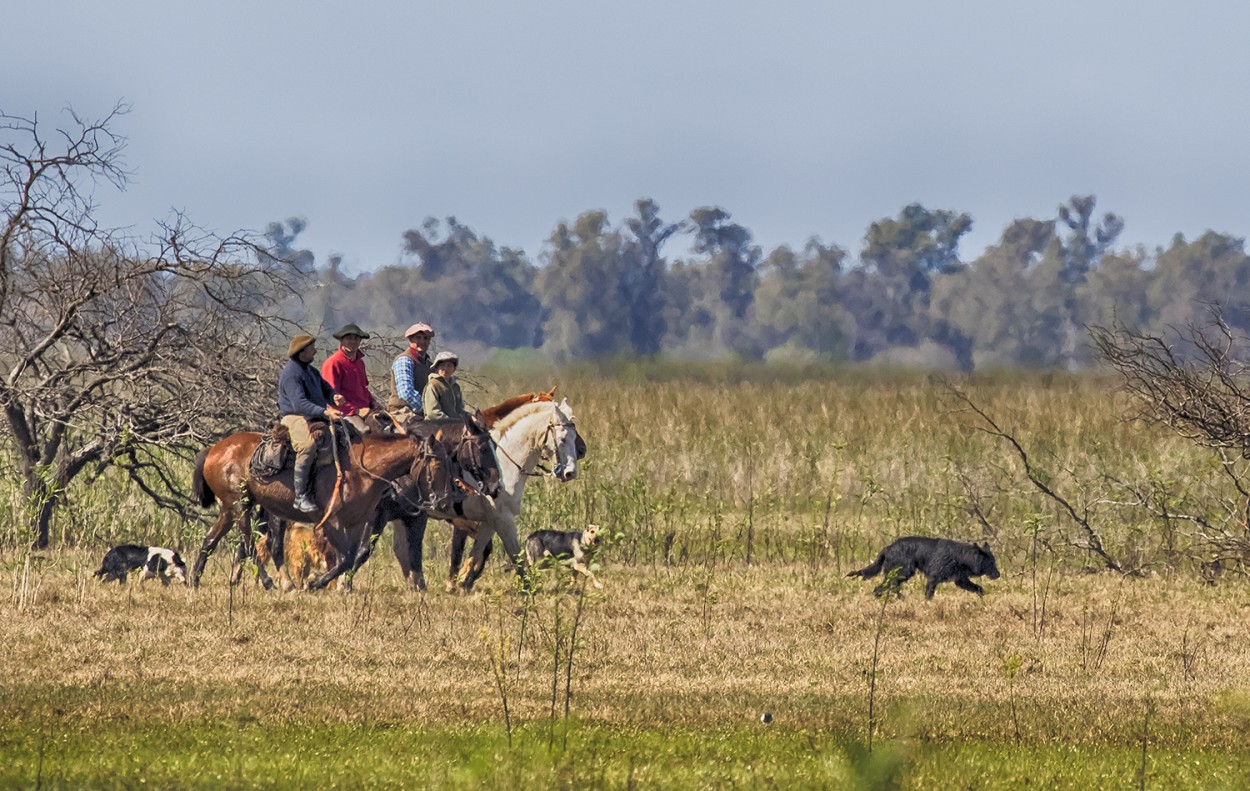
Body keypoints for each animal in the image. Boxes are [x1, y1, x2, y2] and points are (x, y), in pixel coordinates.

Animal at [188, 417, 497, 589]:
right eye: (483, 447)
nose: (494, 486)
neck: (367, 468)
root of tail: (215, 449)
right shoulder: (337, 522)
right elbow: (350, 555)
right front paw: (322, 583)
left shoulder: (379, 519)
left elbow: (361, 554)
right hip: (241, 507)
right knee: (254, 543)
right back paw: (270, 582)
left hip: (234, 509)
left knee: (214, 540)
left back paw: (195, 579)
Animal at [395, 397, 580, 589]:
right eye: (563, 439)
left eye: (573, 436)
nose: (571, 473)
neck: (505, 463)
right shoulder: (502, 519)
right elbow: (514, 553)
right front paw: (527, 588)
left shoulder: (489, 521)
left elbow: (477, 551)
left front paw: (462, 583)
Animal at [845, 537, 1000, 597]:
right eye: (990, 563)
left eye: (994, 561)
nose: (999, 574)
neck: (959, 557)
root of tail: (887, 548)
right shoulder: (933, 578)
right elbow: (929, 594)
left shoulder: (961, 580)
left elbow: (978, 588)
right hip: (903, 572)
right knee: (880, 588)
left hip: (901, 574)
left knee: (888, 588)